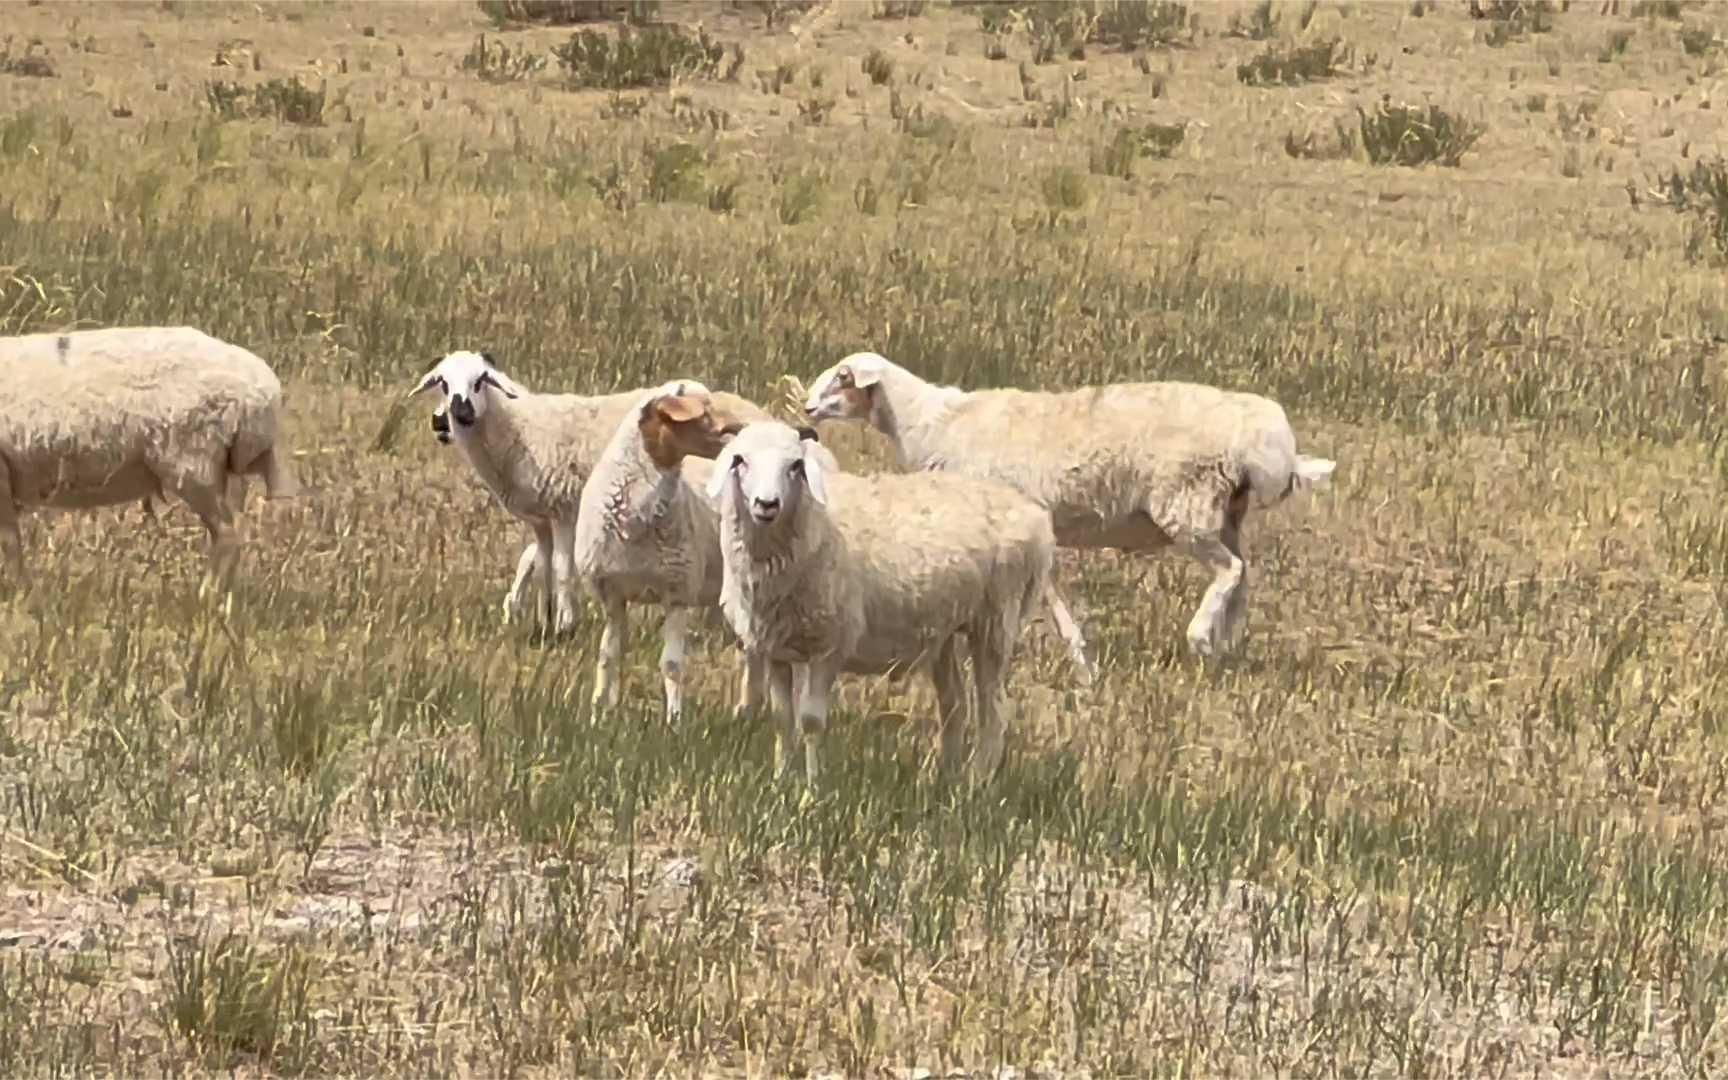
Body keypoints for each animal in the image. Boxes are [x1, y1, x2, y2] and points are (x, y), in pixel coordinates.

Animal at [0, 324, 298, 573]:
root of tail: (264, 385)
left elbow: (9, 545)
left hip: (193, 463)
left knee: (227, 534)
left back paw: (206, 596)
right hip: (232, 465)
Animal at [701, 416, 1050, 777]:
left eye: (796, 465)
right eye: (740, 460)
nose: (767, 504)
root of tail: (1035, 515)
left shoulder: (831, 644)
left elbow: (810, 721)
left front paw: (811, 786)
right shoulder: (774, 647)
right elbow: (783, 720)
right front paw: (780, 778)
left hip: (996, 620)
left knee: (993, 714)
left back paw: (977, 780)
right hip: (944, 630)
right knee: (954, 703)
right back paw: (946, 777)